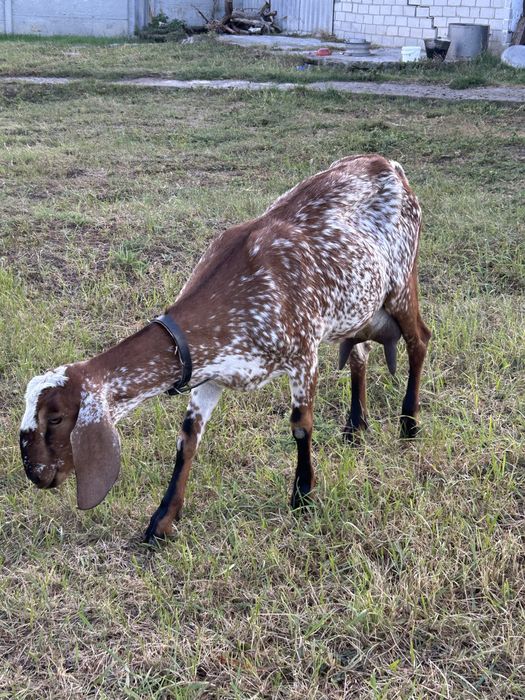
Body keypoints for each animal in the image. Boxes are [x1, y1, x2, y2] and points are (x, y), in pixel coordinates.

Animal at [20, 154, 431, 543]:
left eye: (55, 418)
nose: (35, 474)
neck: (241, 289)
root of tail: (386, 164)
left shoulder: (303, 354)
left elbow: (301, 426)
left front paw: (302, 497)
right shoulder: (209, 371)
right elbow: (187, 439)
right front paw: (162, 522)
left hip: (401, 283)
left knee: (419, 340)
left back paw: (409, 423)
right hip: (356, 309)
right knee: (359, 352)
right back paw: (356, 426)